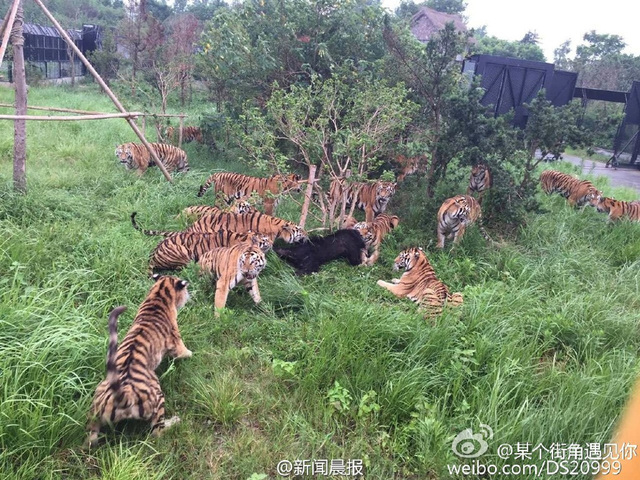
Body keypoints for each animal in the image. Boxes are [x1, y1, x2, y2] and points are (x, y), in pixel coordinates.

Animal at [84, 276, 191, 448]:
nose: (189, 296)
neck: (159, 295)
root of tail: (124, 396)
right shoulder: (176, 340)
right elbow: (183, 351)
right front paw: (191, 354)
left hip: (96, 406)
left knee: (90, 436)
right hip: (158, 396)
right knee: (157, 432)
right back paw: (174, 422)